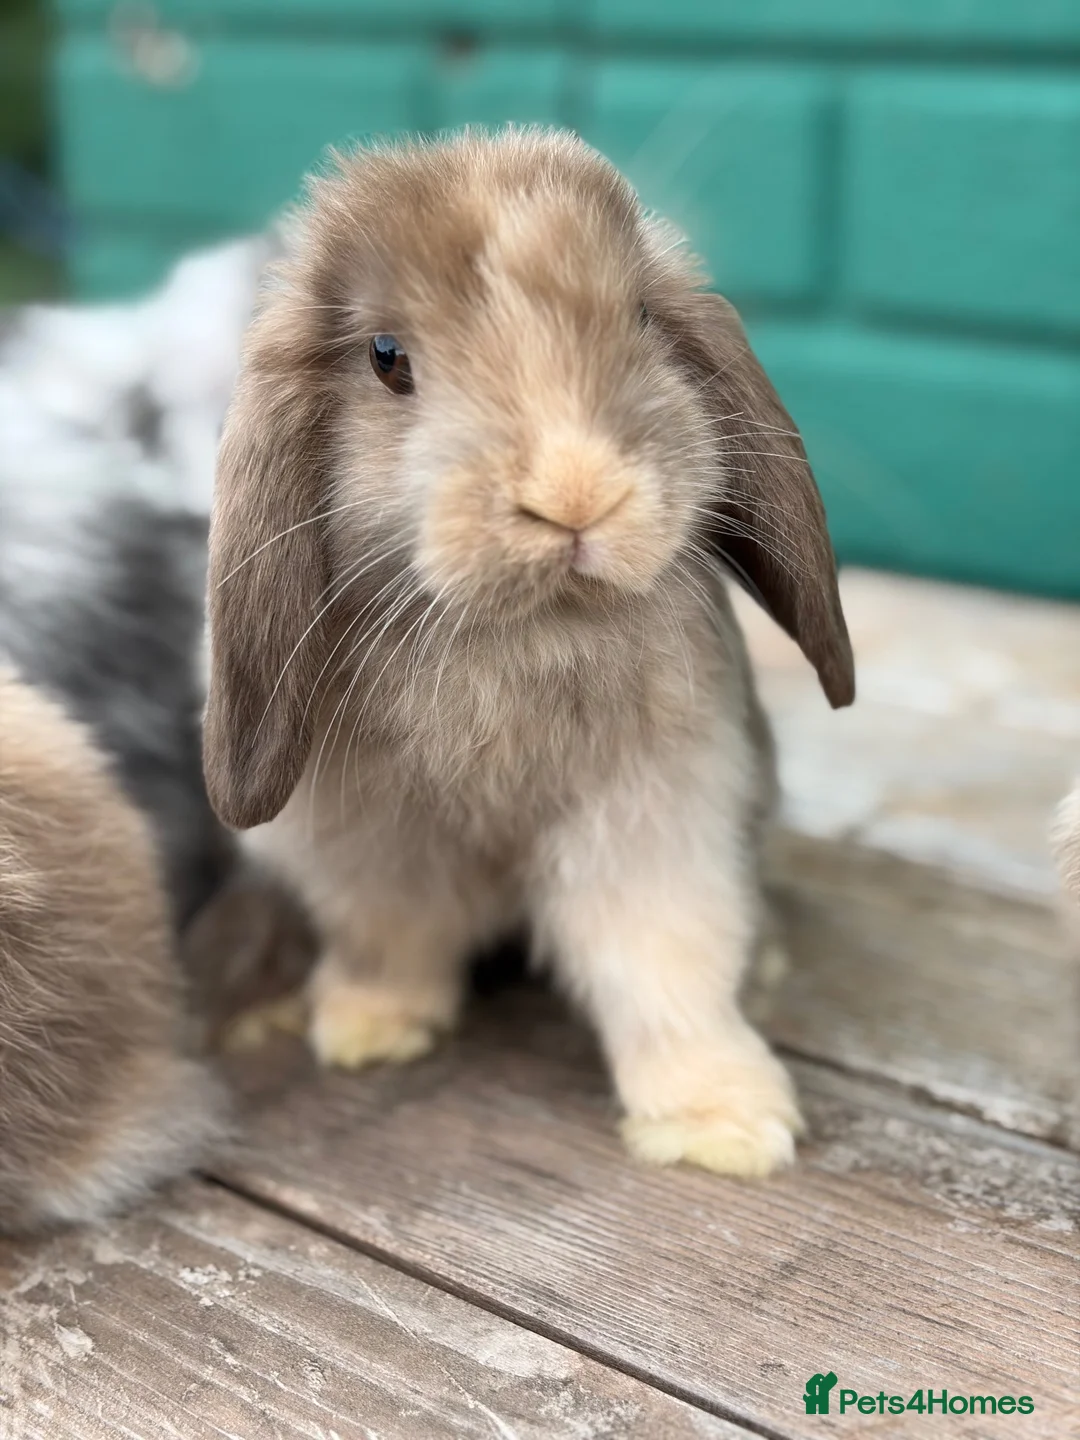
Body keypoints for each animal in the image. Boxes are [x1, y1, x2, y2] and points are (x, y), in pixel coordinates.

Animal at [203, 127, 855, 1178]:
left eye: (640, 316)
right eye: (387, 359)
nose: (574, 492)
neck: (524, 632)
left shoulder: (654, 817)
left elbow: (664, 960)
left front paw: (720, 1125)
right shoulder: (370, 843)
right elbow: (392, 938)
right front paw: (367, 1030)